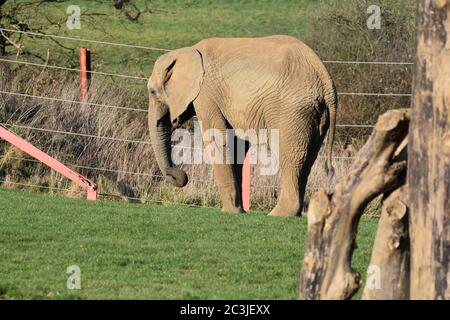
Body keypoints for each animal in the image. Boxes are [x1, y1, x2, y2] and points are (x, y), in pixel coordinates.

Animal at [148, 35, 338, 218]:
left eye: (152, 92)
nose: (182, 175)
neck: (187, 52)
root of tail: (325, 77)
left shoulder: (206, 94)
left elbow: (218, 139)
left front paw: (229, 212)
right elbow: (236, 144)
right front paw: (239, 210)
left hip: (291, 111)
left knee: (290, 156)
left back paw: (278, 214)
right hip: (315, 113)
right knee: (308, 158)